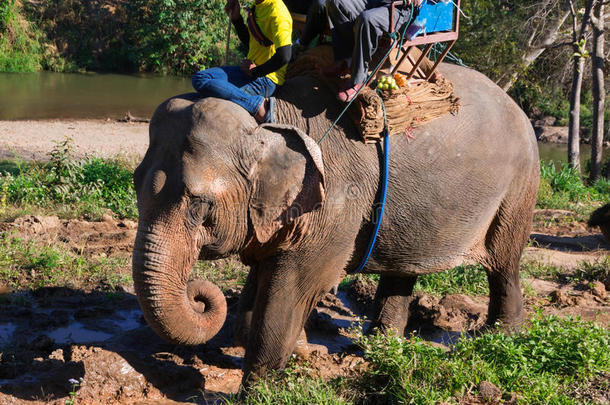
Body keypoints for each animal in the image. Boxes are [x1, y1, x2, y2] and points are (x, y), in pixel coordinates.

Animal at [132, 62, 536, 382]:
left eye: (200, 206)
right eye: (135, 183)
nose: (198, 296)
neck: (273, 124)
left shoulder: (337, 202)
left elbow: (298, 286)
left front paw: (261, 386)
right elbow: (262, 279)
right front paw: (301, 351)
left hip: (518, 189)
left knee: (503, 264)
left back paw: (498, 338)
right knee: (402, 268)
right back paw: (380, 345)